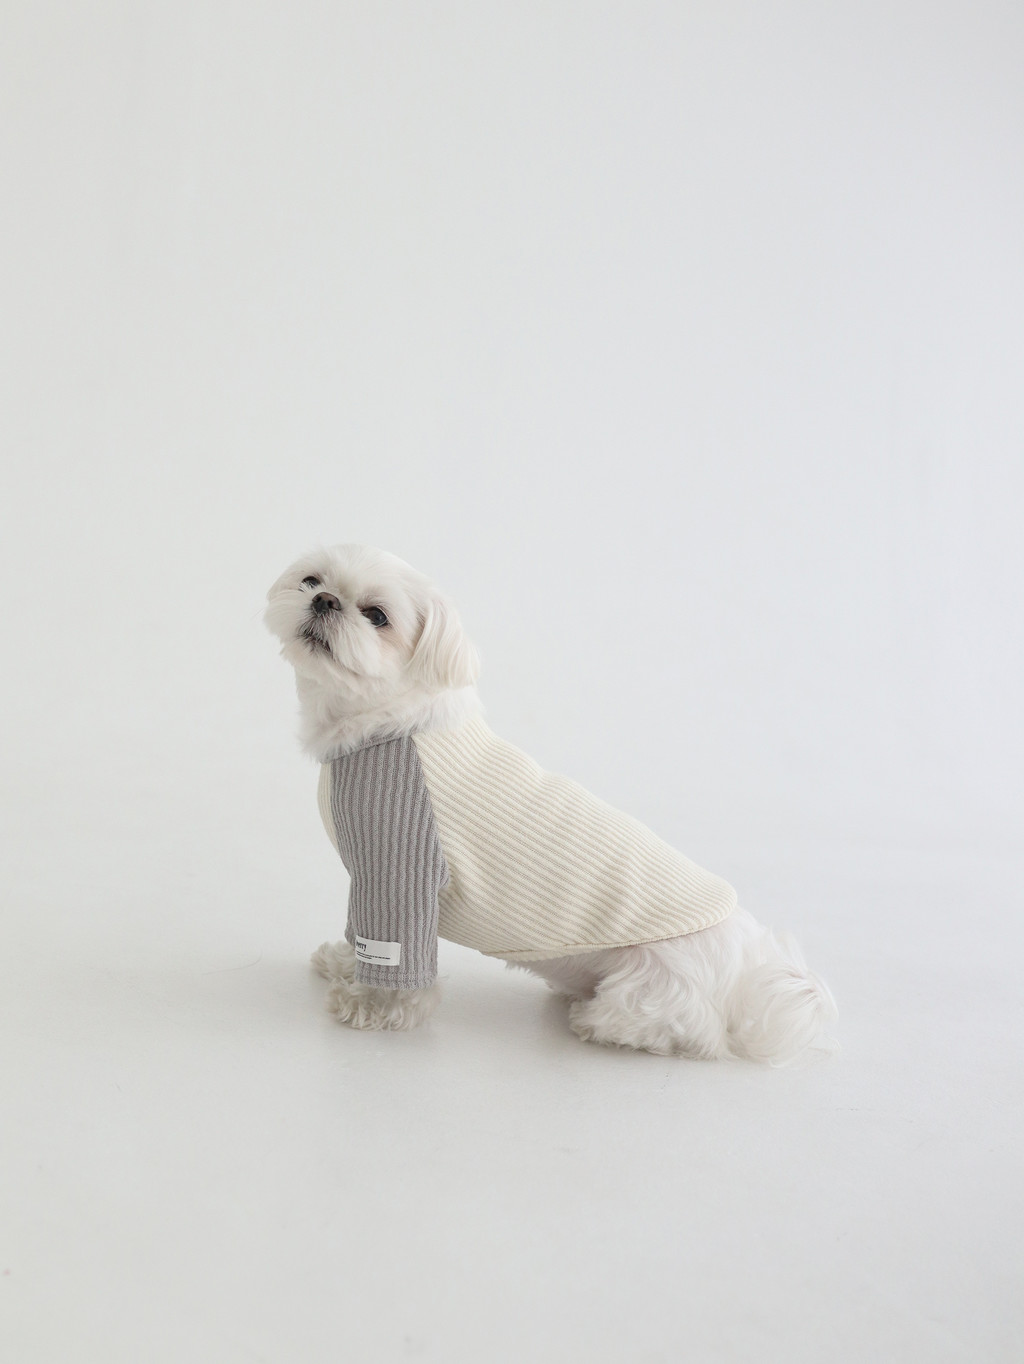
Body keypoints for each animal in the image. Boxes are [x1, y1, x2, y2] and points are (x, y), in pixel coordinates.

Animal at [265, 543, 836, 1062]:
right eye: (312, 580)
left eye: (377, 615)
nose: (324, 601)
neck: (388, 723)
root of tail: (748, 963)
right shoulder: (369, 876)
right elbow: (358, 930)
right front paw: (345, 962)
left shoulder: (403, 869)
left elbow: (397, 955)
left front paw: (377, 1006)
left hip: (652, 984)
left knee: (688, 1030)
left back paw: (598, 1022)